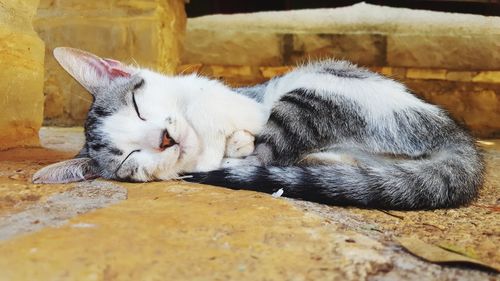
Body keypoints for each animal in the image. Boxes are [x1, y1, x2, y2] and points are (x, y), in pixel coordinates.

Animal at [32, 47, 484, 209]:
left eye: (139, 108)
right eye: (129, 157)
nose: (164, 138)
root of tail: (454, 133)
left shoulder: (244, 102)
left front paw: (232, 138)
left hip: (312, 89)